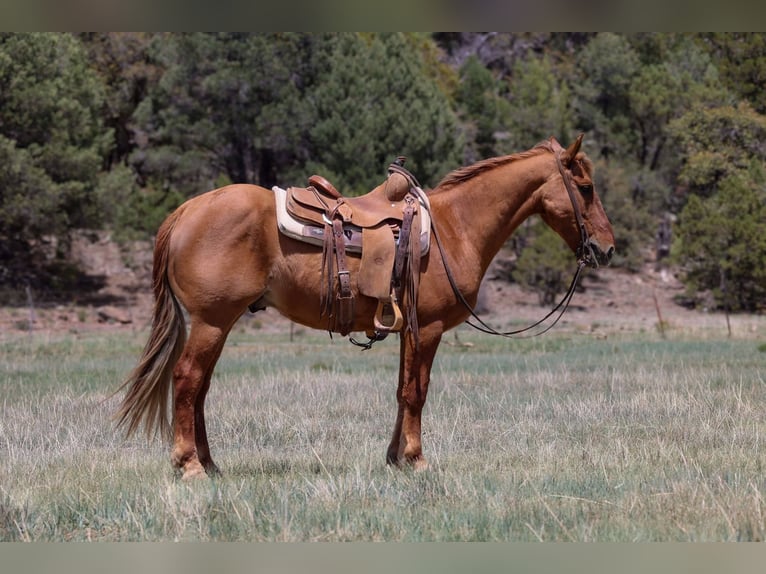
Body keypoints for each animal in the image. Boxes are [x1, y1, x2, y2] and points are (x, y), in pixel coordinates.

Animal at [115, 134, 615, 480]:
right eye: (586, 187)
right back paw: (189, 466)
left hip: (216, 324)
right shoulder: (429, 328)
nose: (607, 249)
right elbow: (417, 392)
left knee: (198, 389)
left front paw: (395, 458)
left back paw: (210, 464)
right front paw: (416, 460)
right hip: (211, 322)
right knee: (187, 380)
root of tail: (186, 211)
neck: (456, 228)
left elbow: (402, 391)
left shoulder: (410, 330)